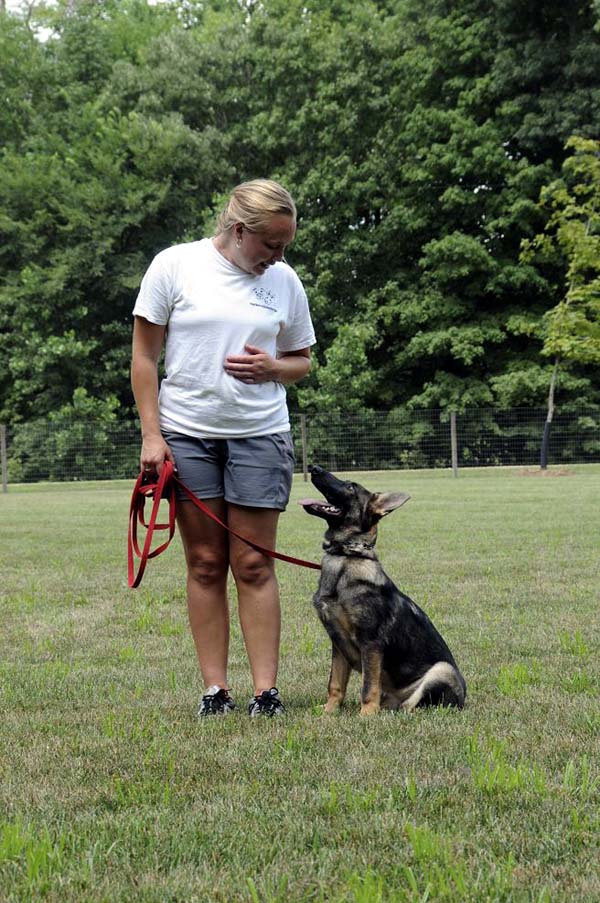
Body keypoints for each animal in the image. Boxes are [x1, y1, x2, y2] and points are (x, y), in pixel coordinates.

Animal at [302, 470, 466, 716]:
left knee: (412, 707)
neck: (346, 555)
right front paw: (329, 712)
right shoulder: (338, 644)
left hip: (442, 669)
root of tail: (463, 701)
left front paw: (366, 715)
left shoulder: (370, 643)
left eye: (351, 486)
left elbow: (368, 686)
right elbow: (335, 684)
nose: (314, 468)